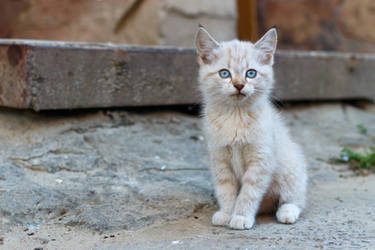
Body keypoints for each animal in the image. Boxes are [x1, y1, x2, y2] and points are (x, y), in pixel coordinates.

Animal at [195, 27, 306, 230]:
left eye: (251, 73)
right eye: (225, 73)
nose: (239, 85)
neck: (236, 116)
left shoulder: (261, 160)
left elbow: (249, 192)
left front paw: (240, 217)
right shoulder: (220, 160)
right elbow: (226, 190)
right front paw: (226, 213)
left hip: (292, 170)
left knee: (295, 199)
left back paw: (287, 212)